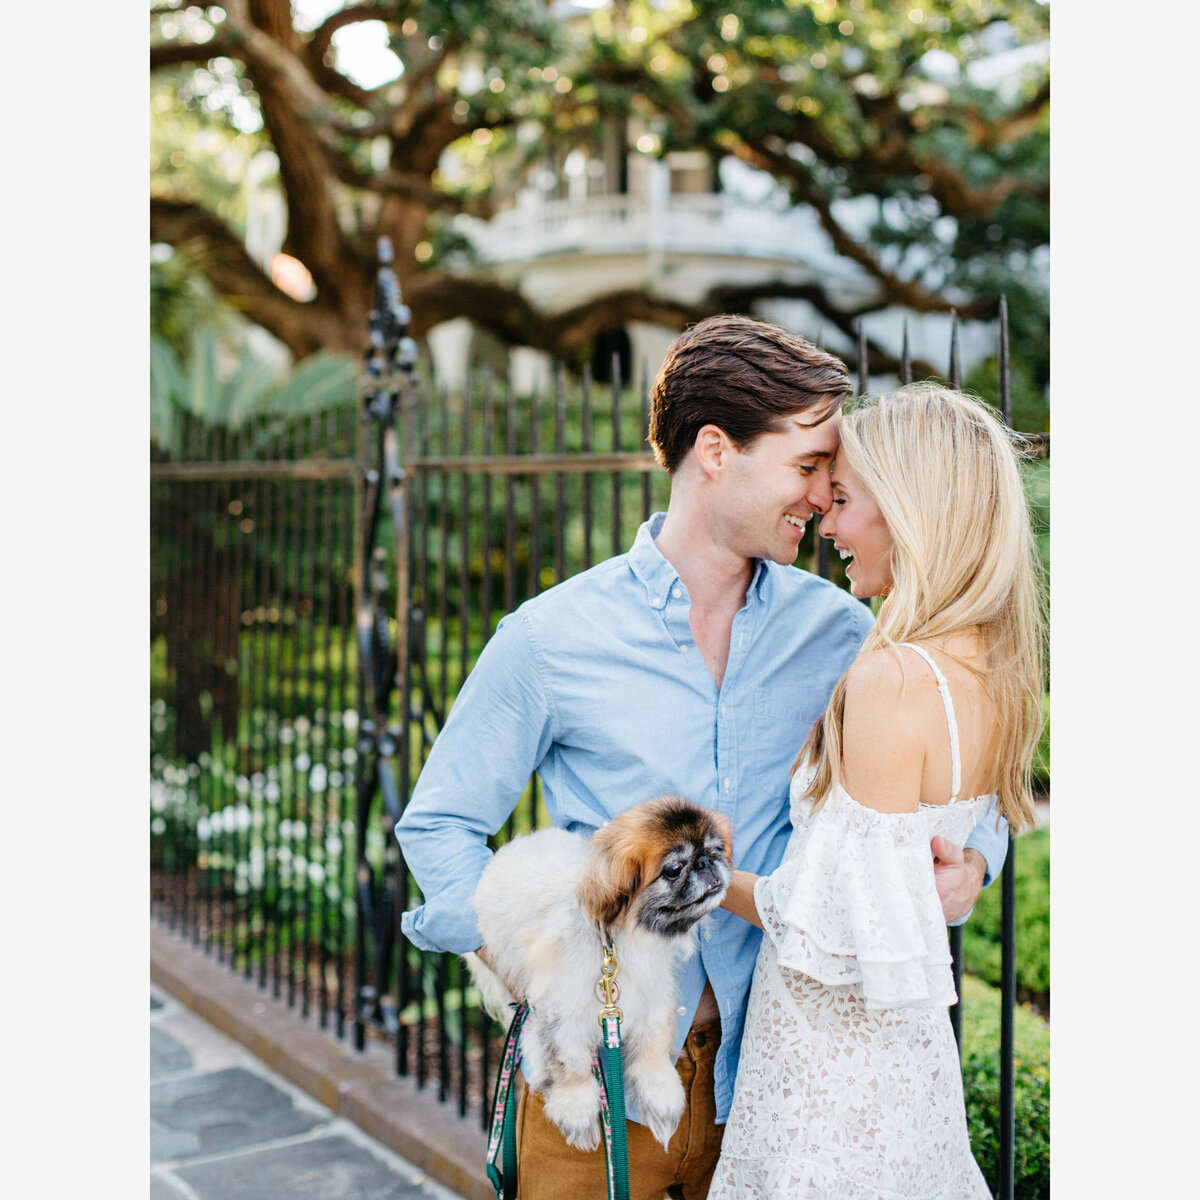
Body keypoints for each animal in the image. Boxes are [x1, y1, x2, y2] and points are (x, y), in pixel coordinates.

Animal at [465, 796, 729, 1152]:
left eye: (717, 849)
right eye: (674, 869)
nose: (705, 862)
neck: (622, 939)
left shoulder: (653, 996)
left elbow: (653, 1046)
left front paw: (660, 1096)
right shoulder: (560, 1012)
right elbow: (571, 1064)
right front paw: (577, 1111)